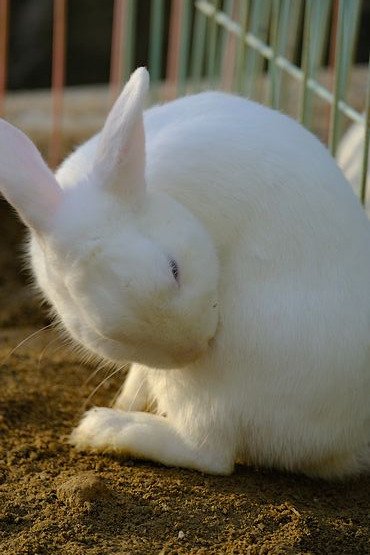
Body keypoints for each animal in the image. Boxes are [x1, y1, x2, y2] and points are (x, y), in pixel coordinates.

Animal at [0, 68, 370, 478]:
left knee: (210, 453)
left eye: (174, 268)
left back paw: (101, 428)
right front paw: (128, 397)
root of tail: (343, 447)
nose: (195, 349)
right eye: (101, 331)